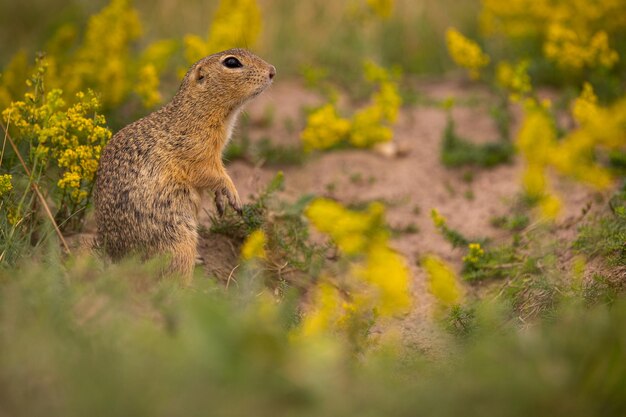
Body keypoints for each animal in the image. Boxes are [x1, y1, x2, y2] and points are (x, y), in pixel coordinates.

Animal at [93, 49, 276, 282]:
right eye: (232, 62)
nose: (272, 71)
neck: (196, 112)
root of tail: (120, 259)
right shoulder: (197, 154)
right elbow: (213, 174)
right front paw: (234, 196)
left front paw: (220, 201)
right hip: (179, 240)